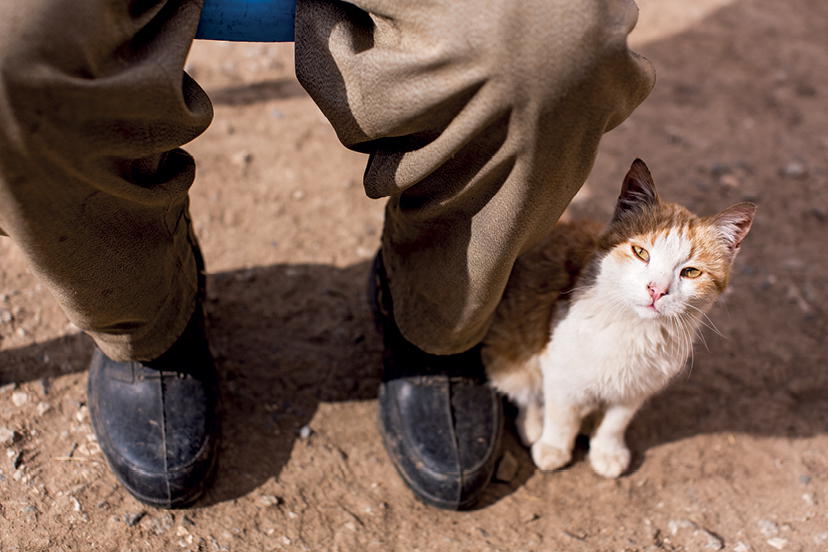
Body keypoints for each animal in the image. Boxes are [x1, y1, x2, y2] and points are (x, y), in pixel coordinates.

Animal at [486, 160, 756, 478]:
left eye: (691, 272)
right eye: (640, 252)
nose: (656, 290)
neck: (633, 327)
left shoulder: (637, 388)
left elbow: (615, 422)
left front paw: (607, 450)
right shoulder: (560, 370)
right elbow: (561, 414)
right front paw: (554, 446)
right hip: (507, 344)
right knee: (525, 391)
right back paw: (533, 426)